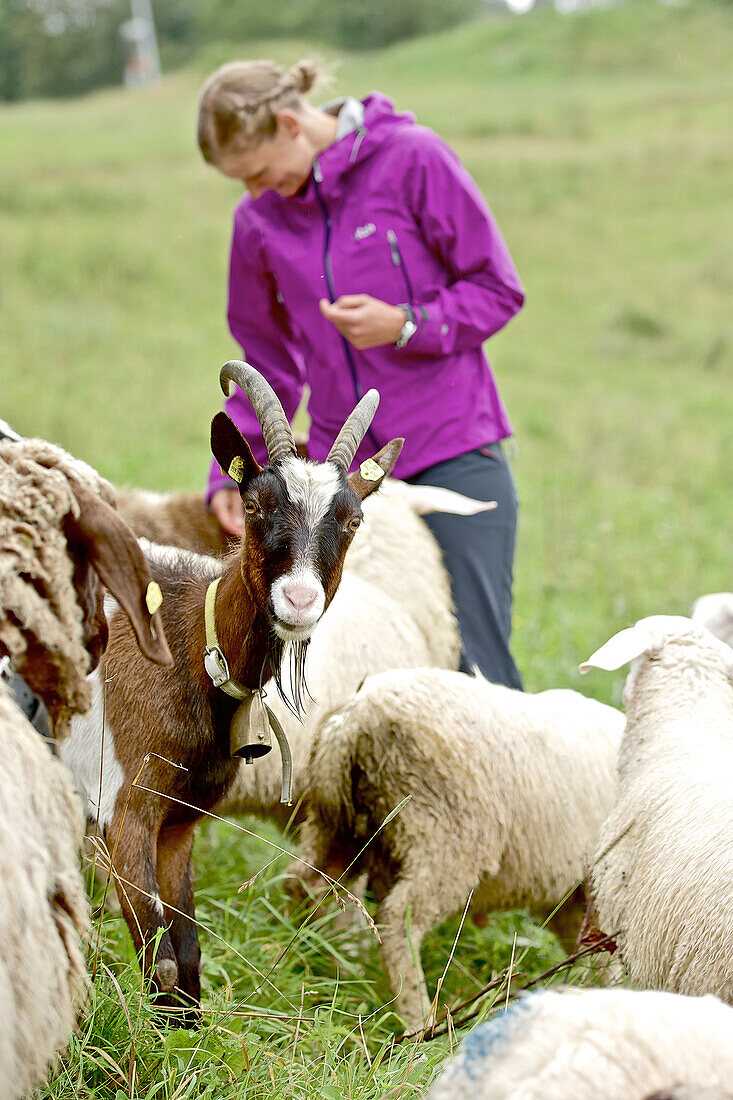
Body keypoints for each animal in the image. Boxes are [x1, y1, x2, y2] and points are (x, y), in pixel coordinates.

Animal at [59, 360, 402, 1020]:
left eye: (352, 520)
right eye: (255, 503)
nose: (299, 600)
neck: (189, 643)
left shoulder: (180, 822)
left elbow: (187, 958)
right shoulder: (125, 811)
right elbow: (161, 959)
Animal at [286, 664, 620, 1034]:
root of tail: (357, 716)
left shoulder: (571, 897)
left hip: (337, 825)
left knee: (304, 882)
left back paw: (307, 963)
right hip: (445, 835)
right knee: (399, 918)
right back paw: (420, 1021)